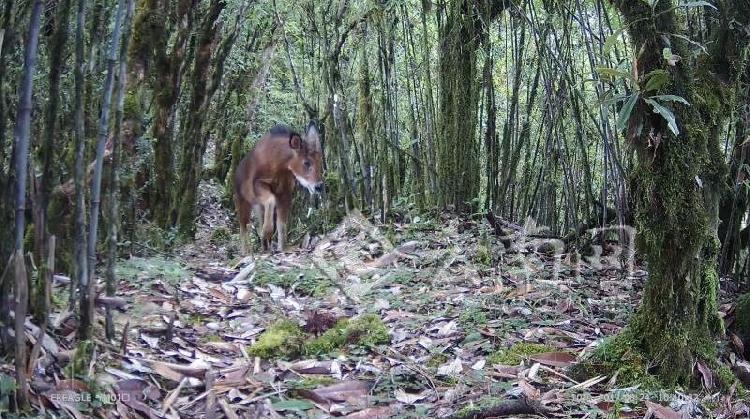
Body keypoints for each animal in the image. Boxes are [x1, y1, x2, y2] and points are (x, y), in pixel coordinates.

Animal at [234, 121, 324, 253]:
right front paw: (267, 233)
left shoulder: (285, 192)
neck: (278, 164)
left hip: (257, 206)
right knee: (243, 227)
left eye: (320, 161)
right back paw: (246, 252)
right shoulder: (258, 184)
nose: (319, 186)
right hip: (242, 200)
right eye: (306, 162)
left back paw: (265, 247)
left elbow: (282, 223)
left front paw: (282, 248)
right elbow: (271, 201)